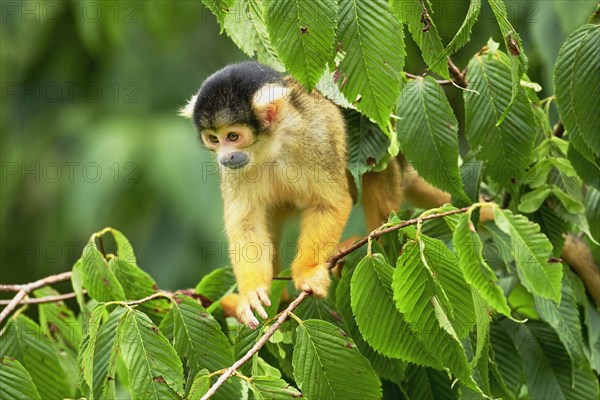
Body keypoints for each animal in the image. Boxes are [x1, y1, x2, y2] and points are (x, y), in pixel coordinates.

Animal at [182, 62, 408, 328]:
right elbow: (247, 224)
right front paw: (251, 295)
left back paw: (375, 240)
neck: (271, 145)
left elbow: (329, 203)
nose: (225, 157)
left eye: (233, 136)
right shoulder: (234, 170)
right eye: (214, 139)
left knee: (377, 170)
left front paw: (307, 271)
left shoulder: (316, 138)